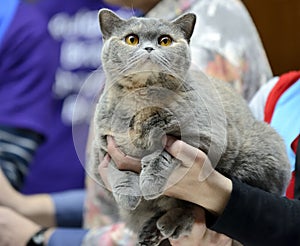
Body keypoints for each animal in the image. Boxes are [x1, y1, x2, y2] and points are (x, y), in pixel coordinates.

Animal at [91, 8, 290, 246]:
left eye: (165, 41)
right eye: (132, 39)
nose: (149, 48)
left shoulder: (203, 137)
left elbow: (164, 154)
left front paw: (150, 182)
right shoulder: (102, 148)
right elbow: (116, 169)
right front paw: (128, 195)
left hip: (260, 156)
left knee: (195, 208)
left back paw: (169, 224)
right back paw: (150, 231)